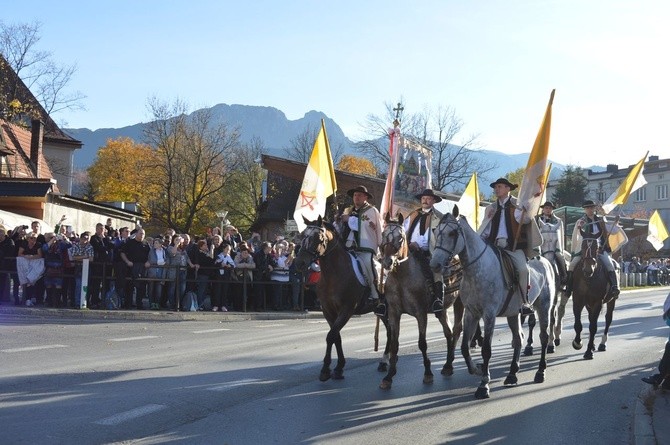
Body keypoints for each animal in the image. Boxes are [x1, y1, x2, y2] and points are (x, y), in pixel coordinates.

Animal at [294, 215, 388, 378]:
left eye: (318, 238)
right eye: (302, 235)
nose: (300, 263)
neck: (334, 274)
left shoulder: (346, 310)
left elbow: (331, 335)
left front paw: (326, 369)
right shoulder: (328, 310)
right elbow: (336, 336)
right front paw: (338, 367)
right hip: (380, 310)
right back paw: (384, 362)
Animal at [380, 212, 464, 388]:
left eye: (400, 238)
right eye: (384, 234)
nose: (387, 262)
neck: (401, 278)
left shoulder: (420, 314)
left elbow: (422, 343)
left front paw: (428, 373)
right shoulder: (394, 313)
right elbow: (394, 344)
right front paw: (389, 376)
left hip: (460, 302)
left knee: (456, 330)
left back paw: (449, 365)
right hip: (442, 310)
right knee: (448, 332)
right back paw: (447, 365)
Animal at [430, 206, 556, 398]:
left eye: (452, 233)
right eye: (435, 231)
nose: (434, 265)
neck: (476, 271)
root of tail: (545, 261)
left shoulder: (489, 314)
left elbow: (486, 349)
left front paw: (484, 384)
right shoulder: (471, 313)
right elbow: (464, 347)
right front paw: (476, 369)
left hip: (544, 308)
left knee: (543, 336)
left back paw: (540, 371)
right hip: (513, 314)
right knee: (518, 339)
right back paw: (512, 374)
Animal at [568, 231, 616, 360]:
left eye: (597, 247)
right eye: (583, 246)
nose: (588, 269)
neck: (588, 279)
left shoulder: (597, 303)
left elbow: (593, 327)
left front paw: (589, 351)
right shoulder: (577, 301)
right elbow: (578, 325)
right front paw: (577, 343)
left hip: (611, 301)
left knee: (608, 319)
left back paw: (602, 344)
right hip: (588, 305)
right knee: (591, 319)